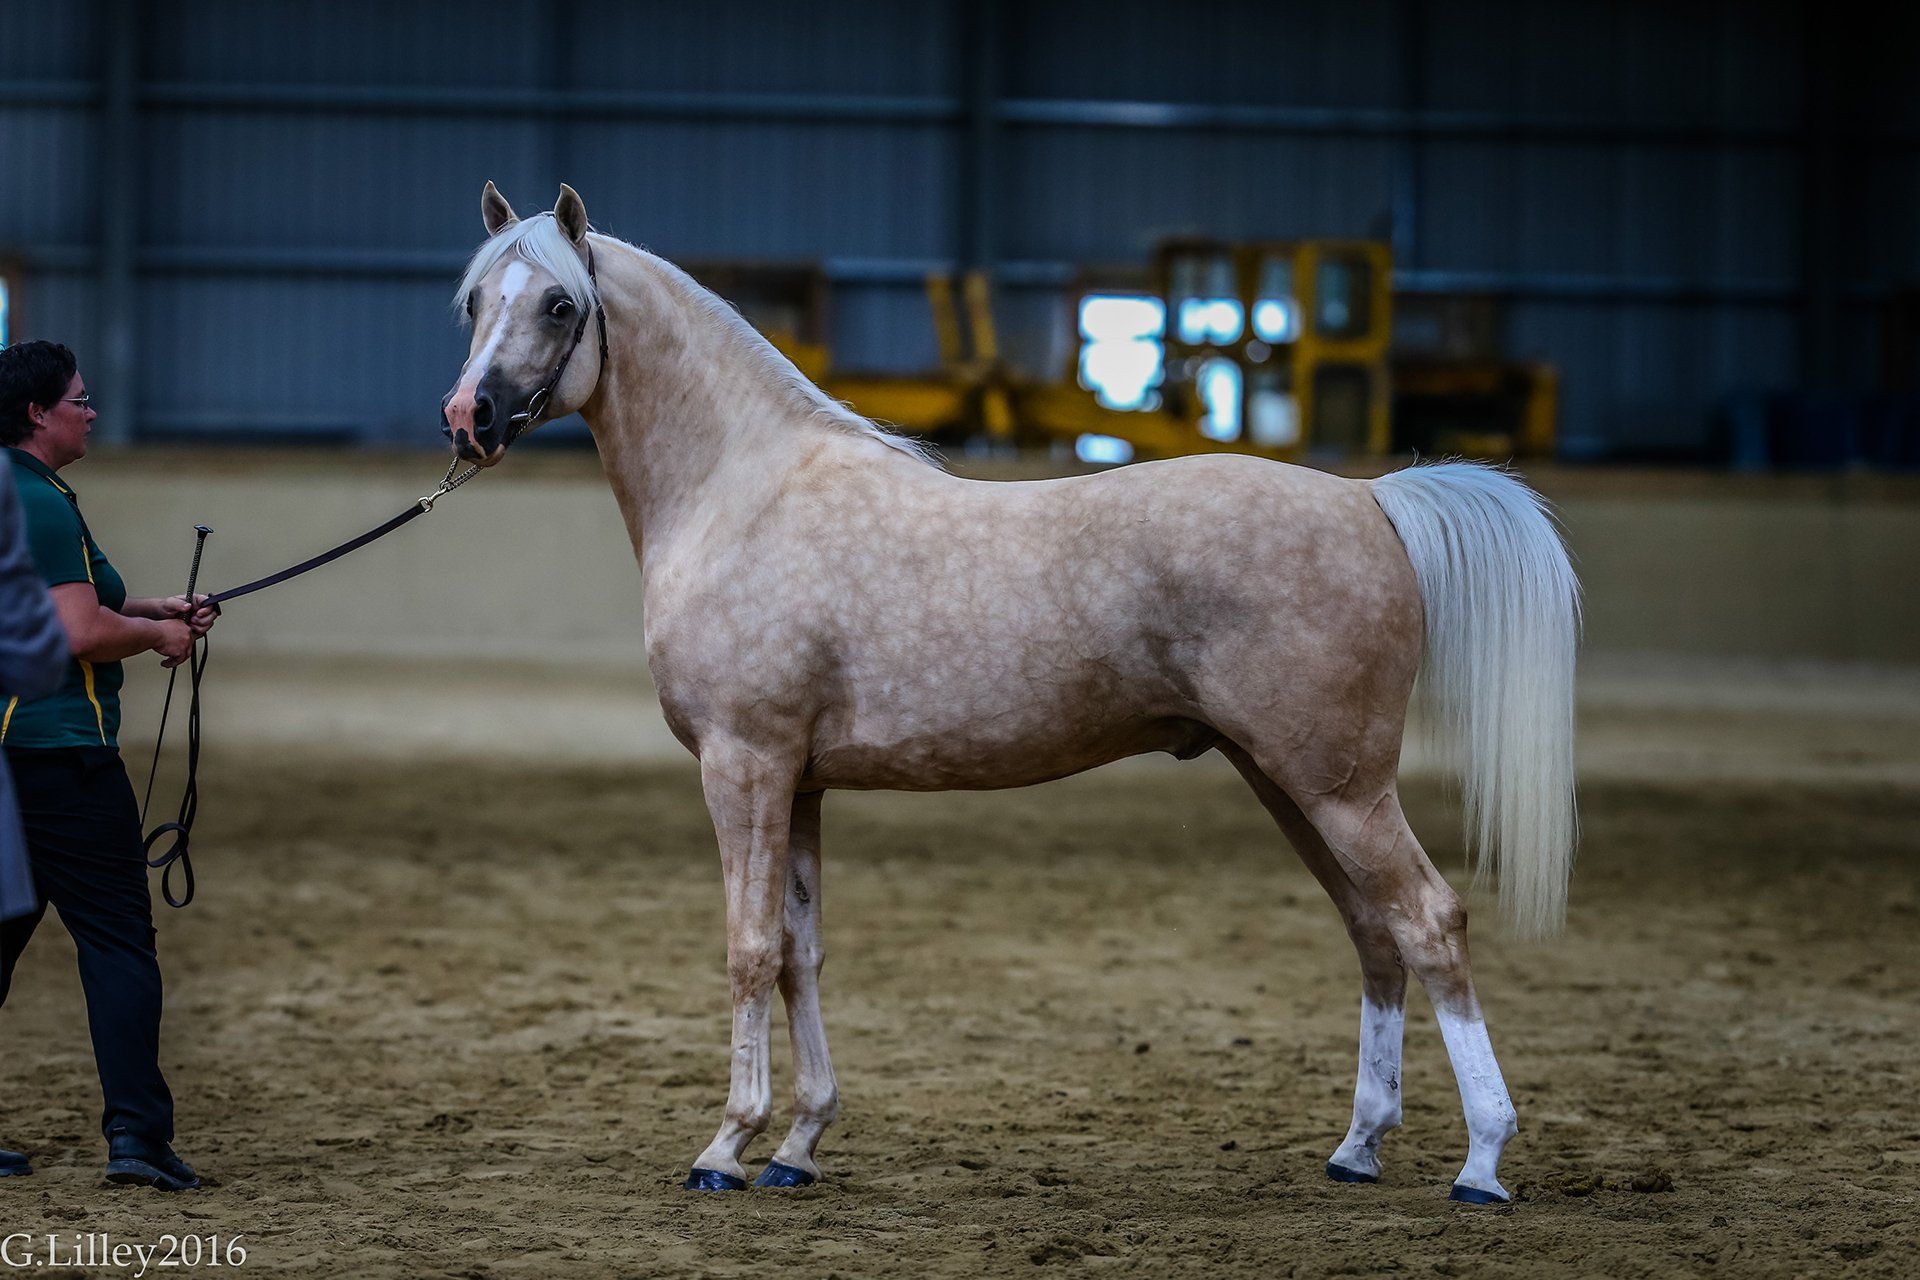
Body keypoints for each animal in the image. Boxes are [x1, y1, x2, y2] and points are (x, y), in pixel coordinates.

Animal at [440, 183, 1580, 1204]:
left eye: (559, 304)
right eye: (474, 300)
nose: (469, 416)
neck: (741, 491)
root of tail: (1369, 498)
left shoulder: (745, 766)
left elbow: (749, 949)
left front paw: (727, 1145)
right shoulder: (799, 783)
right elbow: (803, 952)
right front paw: (799, 1145)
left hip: (1340, 788)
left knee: (1430, 921)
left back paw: (1482, 1163)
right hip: (1289, 783)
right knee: (1374, 933)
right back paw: (1358, 1147)